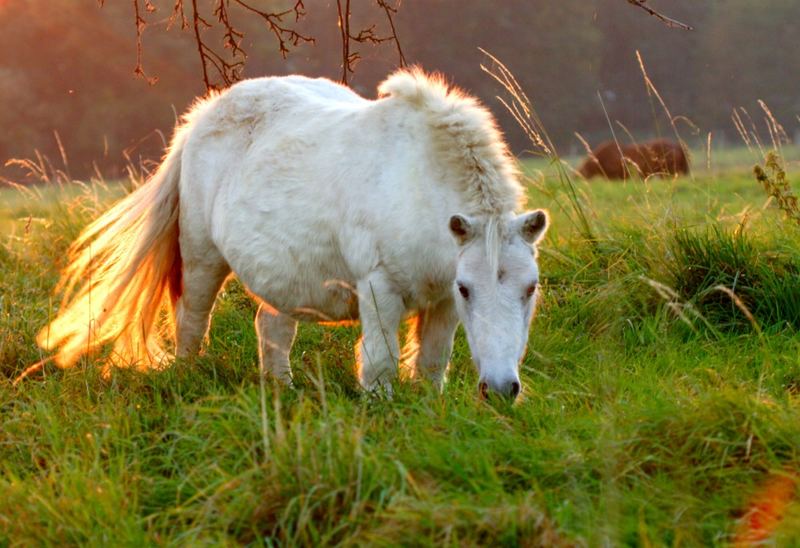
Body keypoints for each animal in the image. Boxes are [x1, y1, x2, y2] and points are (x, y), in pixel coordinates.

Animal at [39, 70, 552, 400]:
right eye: (469, 288)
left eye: (531, 288)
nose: (501, 389)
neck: (417, 181)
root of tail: (201, 117)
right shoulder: (382, 289)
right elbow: (381, 361)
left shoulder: (439, 300)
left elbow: (430, 364)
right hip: (203, 259)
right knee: (191, 323)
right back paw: (188, 378)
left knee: (271, 328)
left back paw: (281, 390)